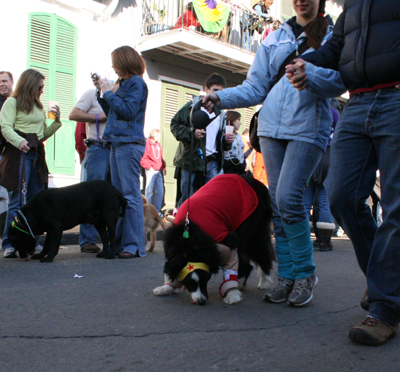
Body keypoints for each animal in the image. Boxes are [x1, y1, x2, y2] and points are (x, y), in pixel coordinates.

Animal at [152, 174, 276, 306]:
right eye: (190, 283)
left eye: (206, 279)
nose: (201, 301)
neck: (190, 242)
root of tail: (256, 182)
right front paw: (167, 287)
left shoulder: (226, 246)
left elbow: (230, 270)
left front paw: (232, 294)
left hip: (252, 232)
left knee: (262, 252)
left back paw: (263, 282)